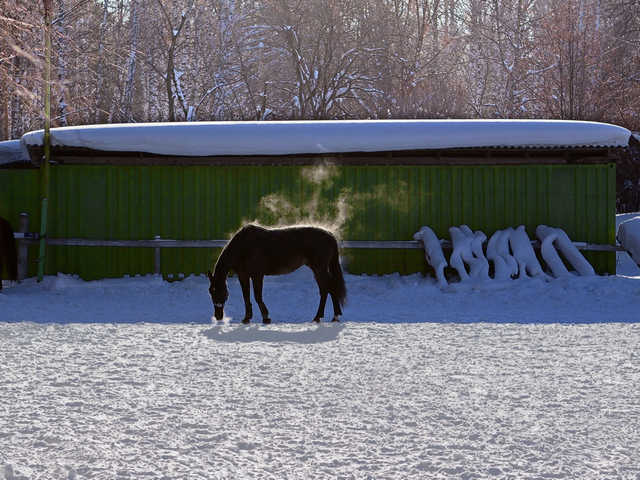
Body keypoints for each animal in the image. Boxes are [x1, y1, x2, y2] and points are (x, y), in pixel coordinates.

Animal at [208, 224, 348, 322]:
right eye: (210, 291)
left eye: (222, 291)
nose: (218, 316)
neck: (243, 246)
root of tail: (331, 236)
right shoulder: (243, 276)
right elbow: (246, 297)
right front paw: (247, 318)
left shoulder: (257, 275)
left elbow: (258, 296)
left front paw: (266, 318)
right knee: (330, 288)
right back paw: (334, 316)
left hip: (319, 269)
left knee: (325, 289)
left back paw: (318, 317)